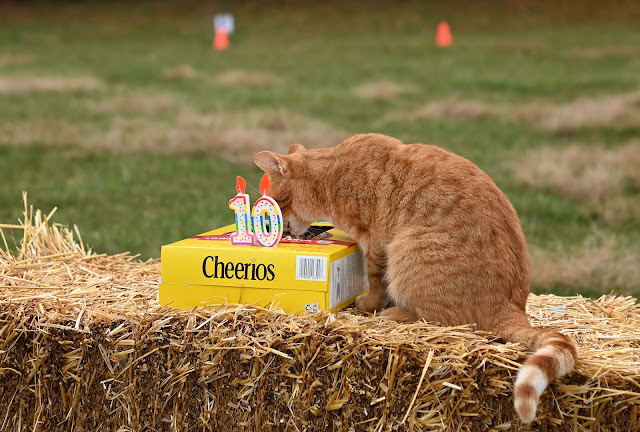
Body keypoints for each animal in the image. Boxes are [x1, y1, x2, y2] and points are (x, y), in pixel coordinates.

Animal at [254, 133, 578, 424]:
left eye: (276, 203)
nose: (280, 231)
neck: (333, 173)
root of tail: (512, 307)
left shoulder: (376, 243)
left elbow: (376, 282)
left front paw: (368, 304)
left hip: (407, 248)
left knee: (442, 320)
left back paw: (395, 313)